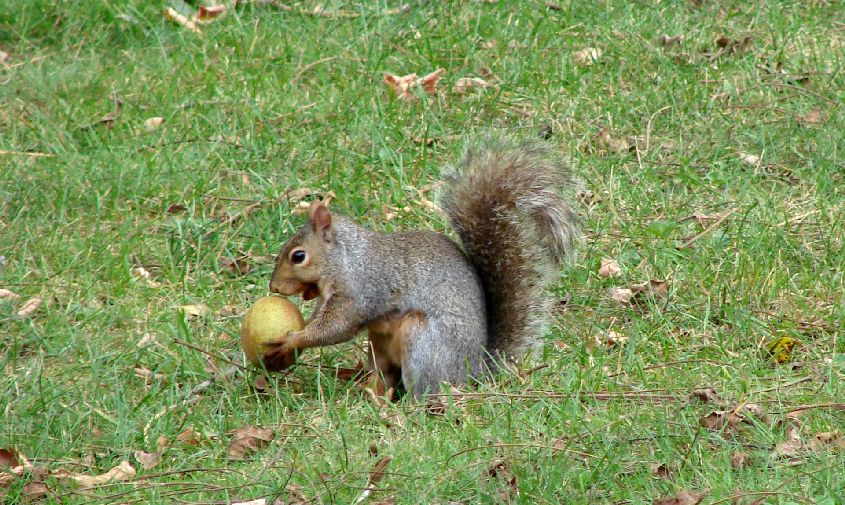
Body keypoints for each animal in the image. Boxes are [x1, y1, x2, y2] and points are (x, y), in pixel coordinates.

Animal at [266, 138, 580, 398]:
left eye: (298, 256)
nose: (274, 287)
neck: (346, 258)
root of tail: (473, 371)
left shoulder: (359, 290)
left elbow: (336, 328)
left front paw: (290, 339)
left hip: (421, 340)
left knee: (423, 390)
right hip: (378, 342)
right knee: (386, 375)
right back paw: (372, 394)